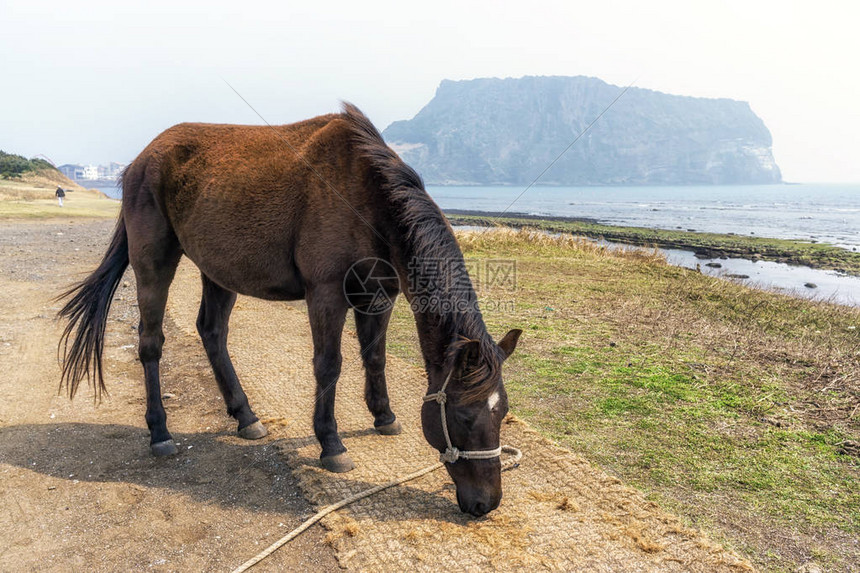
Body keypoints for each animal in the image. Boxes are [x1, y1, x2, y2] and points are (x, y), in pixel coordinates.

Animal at [58, 104, 524, 520]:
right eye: (464, 415)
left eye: (502, 413)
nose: (486, 503)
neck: (366, 196)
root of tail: (141, 159)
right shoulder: (326, 295)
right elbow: (329, 366)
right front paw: (331, 444)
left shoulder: (378, 297)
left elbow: (374, 358)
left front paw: (384, 416)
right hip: (153, 262)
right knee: (151, 343)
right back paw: (160, 431)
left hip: (218, 270)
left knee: (212, 332)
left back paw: (245, 416)